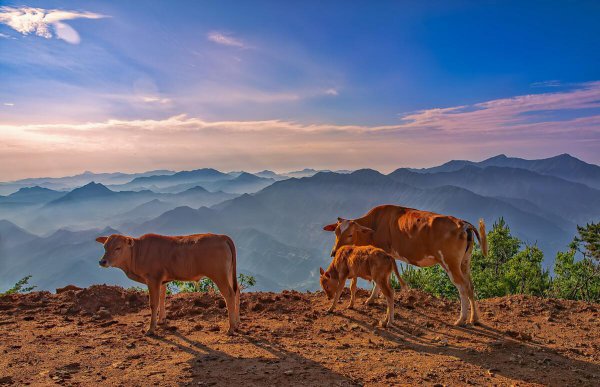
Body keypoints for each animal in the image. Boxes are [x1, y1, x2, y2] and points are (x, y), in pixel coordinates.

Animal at [95, 233, 240, 336]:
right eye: (105, 247)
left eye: (118, 248)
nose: (102, 261)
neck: (137, 253)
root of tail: (221, 236)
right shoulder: (162, 281)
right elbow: (162, 298)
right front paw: (161, 320)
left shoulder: (153, 279)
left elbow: (153, 303)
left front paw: (151, 329)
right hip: (228, 272)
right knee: (237, 291)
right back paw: (237, 323)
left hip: (219, 274)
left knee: (229, 294)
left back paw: (231, 328)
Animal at [324, 205, 488, 326]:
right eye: (336, 232)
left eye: (350, 234)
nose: (334, 252)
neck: (374, 225)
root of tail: (463, 224)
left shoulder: (382, 252)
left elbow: (379, 282)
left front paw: (371, 299)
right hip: (465, 262)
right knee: (470, 285)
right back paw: (474, 318)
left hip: (450, 262)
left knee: (462, 287)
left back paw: (461, 320)